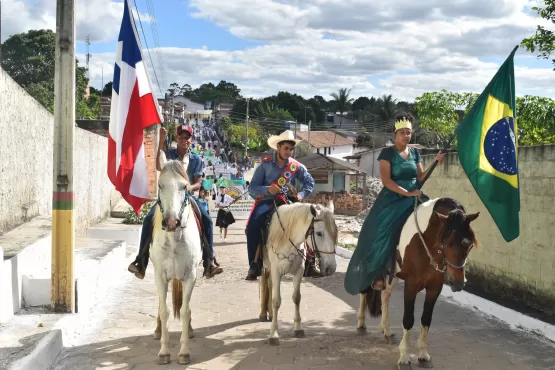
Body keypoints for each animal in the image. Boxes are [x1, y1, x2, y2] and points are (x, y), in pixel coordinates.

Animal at [260, 201, 338, 346]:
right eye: (319, 233)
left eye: (335, 233)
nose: (331, 268)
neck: (286, 236)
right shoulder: (276, 271)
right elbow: (276, 301)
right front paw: (273, 334)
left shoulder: (298, 272)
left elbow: (296, 298)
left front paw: (298, 328)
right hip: (264, 266)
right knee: (263, 283)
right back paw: (263, 313)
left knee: (269, 285)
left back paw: (271, 314)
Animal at [358, 198, 480, 368]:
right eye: (447, 242)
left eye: (469, 245)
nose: (458, 284)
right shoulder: (411, 284)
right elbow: (408, 319)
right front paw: (404, 357)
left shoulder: (435, 287)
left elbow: (426, 319)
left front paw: (423, 354)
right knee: (364, 291)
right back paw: (361, 324)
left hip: (392, 276)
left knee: (385, 295)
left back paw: (386, 330)